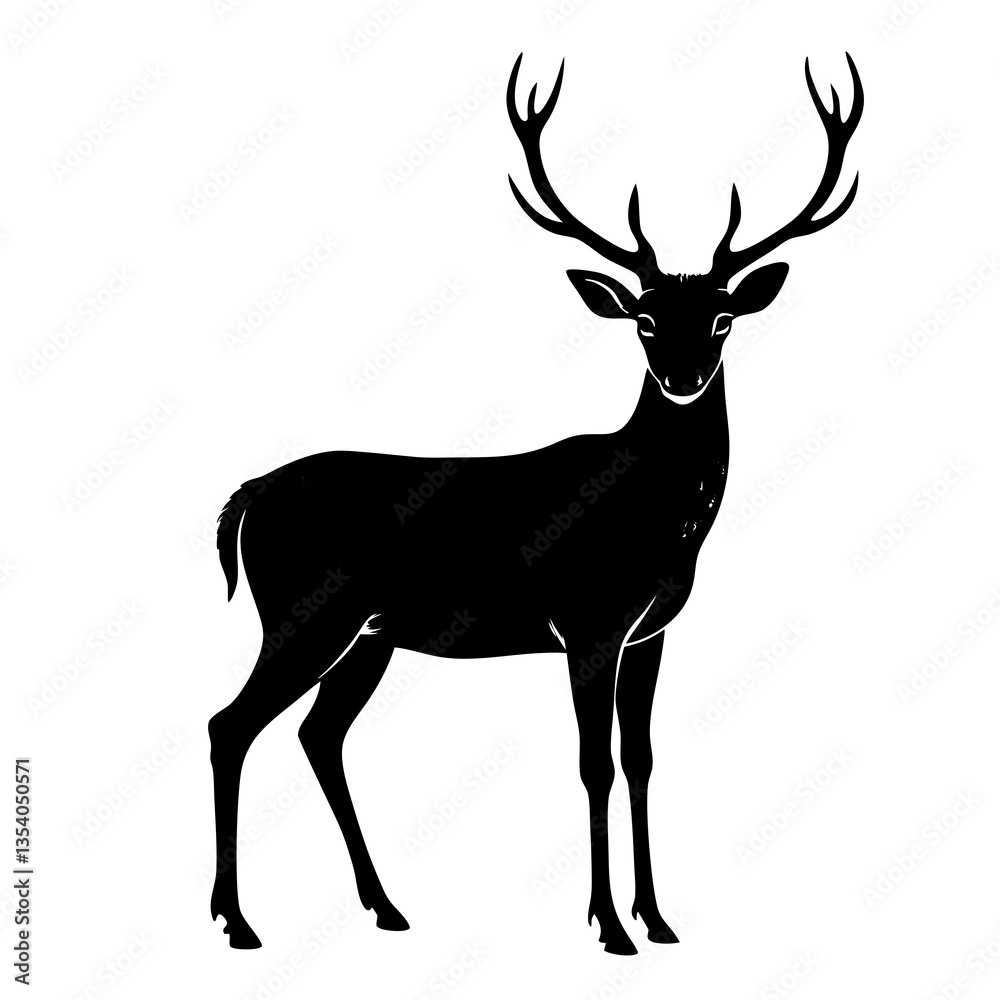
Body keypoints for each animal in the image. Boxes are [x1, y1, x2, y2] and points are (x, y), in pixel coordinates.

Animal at [209, 52, 862, 956]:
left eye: (724, 316)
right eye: (645, 318)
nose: (683, 377)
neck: (659, 522)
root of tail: (247, 496)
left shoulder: (649, 631)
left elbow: (641, 759)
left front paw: (659, 919)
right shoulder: (588, 622)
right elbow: (593, 763)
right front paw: (609, 926)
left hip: (368, 633)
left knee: (317, 734)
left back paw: (385, 906)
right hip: (305, 612)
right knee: (230, 726)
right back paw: (238, 922)